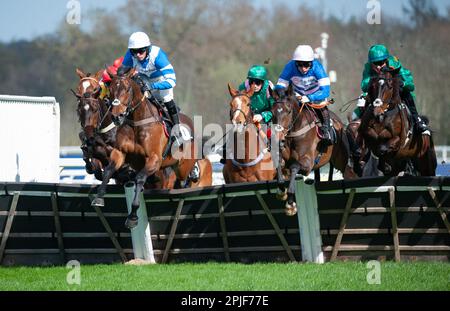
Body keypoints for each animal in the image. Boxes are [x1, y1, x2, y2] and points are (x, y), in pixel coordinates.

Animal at [91, 69, 197, 229]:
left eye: (127, 89)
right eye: (111, 90)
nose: (117, 116)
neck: (137, 122)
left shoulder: (154, 159)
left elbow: (139, 179)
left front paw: (133, 216)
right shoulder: (120, 152)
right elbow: (109, 170)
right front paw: (99, 197)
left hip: (182, 167)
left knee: (185, 178)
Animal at [270, 83, 356, 217]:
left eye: (288, 111)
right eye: (272, 111)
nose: (278, 140)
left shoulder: (307, 163)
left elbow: (294, 166)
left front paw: (290, 204)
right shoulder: (284, 159)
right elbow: (279, 163)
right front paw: (281, 191)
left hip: (341, 161)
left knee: (350, 173)